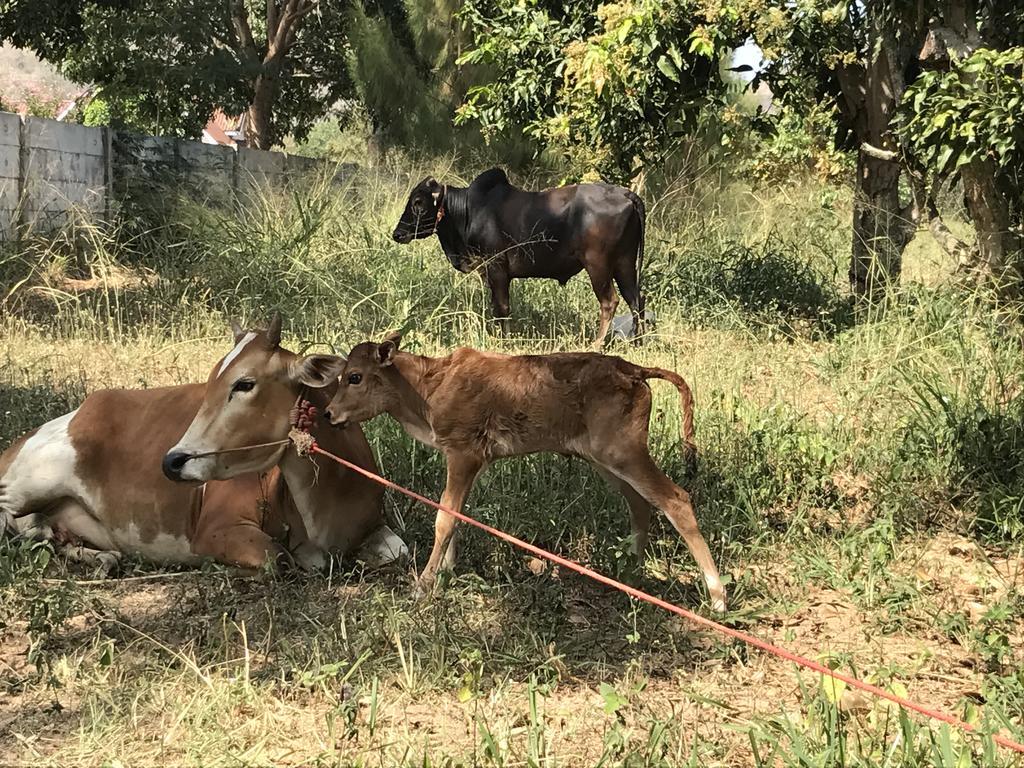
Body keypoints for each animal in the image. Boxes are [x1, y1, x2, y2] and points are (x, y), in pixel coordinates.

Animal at [0, 315, 407, 573]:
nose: (172, 461)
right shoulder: (213, 530)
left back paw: (96, 555)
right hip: (32, 481)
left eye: (245, 383)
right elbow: (279, 559)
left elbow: (400, 551)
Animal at [319, 335, 729, 614]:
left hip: (624, 453)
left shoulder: (464, 455)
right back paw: (629, 573)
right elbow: (455, 515)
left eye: (354, 377)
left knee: (676, 499)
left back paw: (717, 597)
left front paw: (424, 585)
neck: (427, 386)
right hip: (606, 459)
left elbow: (444, 518)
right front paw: (446, 574)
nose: (328, 414)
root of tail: (635, 370)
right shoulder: (467, 461)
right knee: (640, 504)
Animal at [391, 169, 647, 350]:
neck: (468, 212)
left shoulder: (497, 268)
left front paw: (504, 341)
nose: (398, 234)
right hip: (624, 264)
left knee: (610, 302)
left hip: (598, 265)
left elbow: (502, 307)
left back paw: (596, 344)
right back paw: (638, 342)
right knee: (636, 301)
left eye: (418, 202)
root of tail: (627, 194)